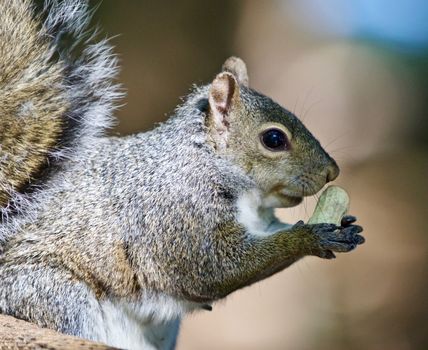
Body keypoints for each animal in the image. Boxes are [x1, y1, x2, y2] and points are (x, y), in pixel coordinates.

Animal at [0, 0, 364, 350]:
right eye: (273, 139)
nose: (332, 171)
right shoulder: (180, 213)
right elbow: (214, 267)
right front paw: (310, 238)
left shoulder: (259, 221)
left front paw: (344, 225)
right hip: (56, 296)